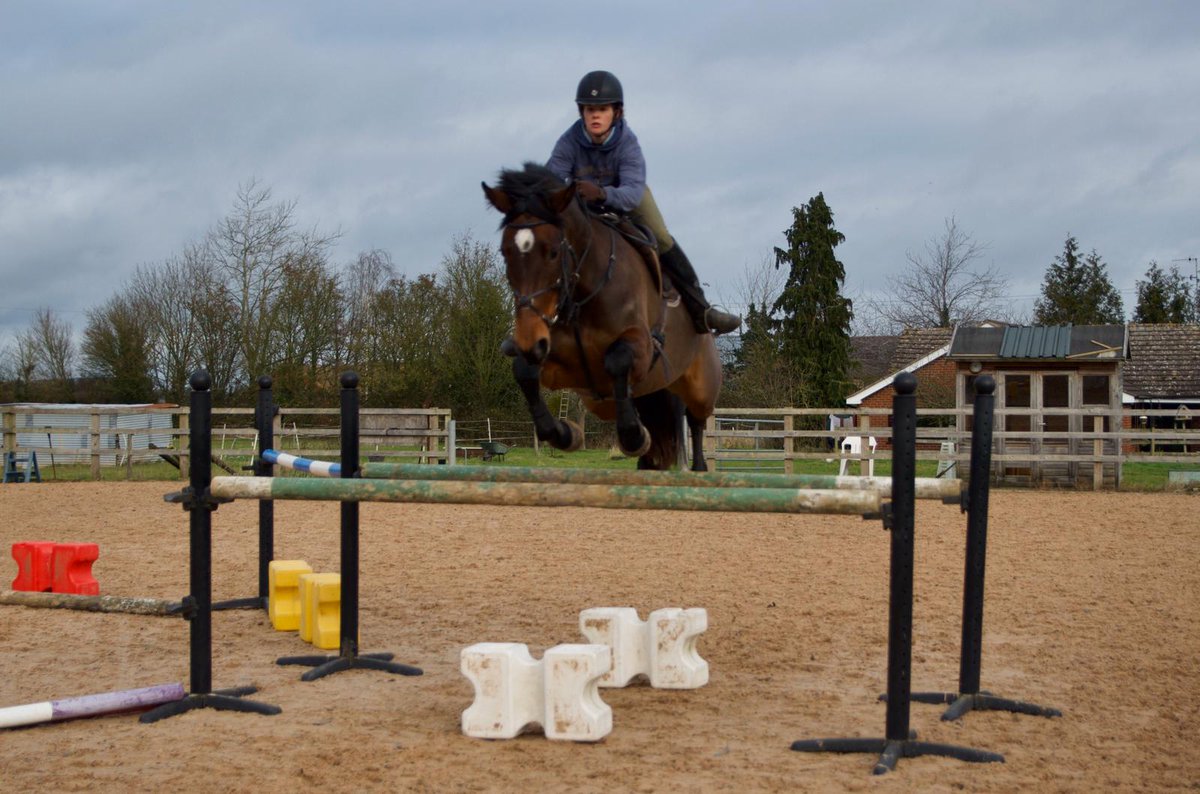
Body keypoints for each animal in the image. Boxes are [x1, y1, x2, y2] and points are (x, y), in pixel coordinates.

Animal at [482, 163, 722, 471]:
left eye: (553, 252)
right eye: (505, 252)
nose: (528, 340)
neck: (585, 295)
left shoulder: (642, 347)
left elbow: (618, 359)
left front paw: (634, 437)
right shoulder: (560, 365)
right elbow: (524, 371)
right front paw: (566, 433)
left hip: (699, 386)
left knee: (696, 421)